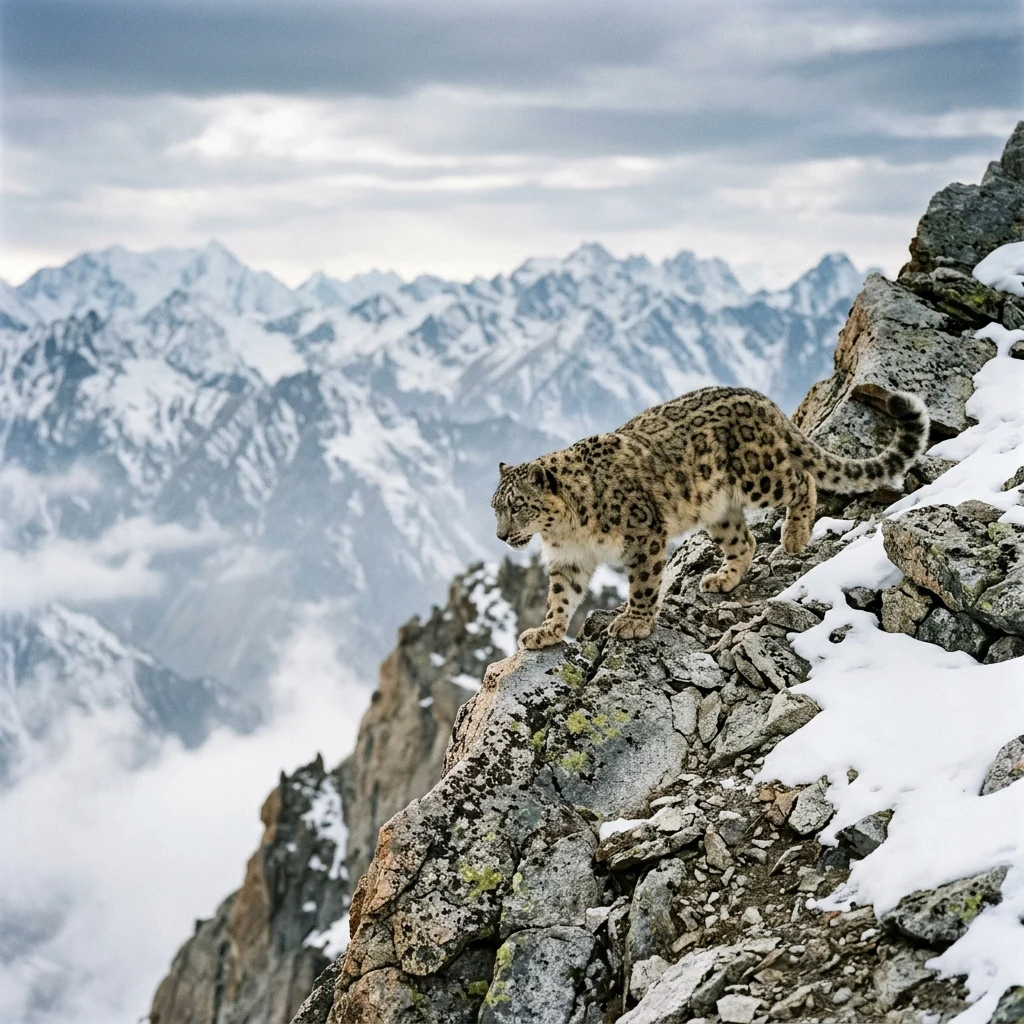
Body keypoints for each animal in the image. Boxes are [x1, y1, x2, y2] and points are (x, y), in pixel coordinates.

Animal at [491, 385, 929, 649]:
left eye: (518, 505)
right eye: (495, 508)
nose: (500, 536)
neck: (567, 531)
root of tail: (760, 398)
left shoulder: (643, 535)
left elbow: (644, 584)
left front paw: (634, 622)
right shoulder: (568, 559)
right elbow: (560, 596)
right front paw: (546, 631)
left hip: (760, 476)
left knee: (802, 480)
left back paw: (794, 535)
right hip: (717, 509)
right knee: (744, 540)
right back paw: (722, 578)